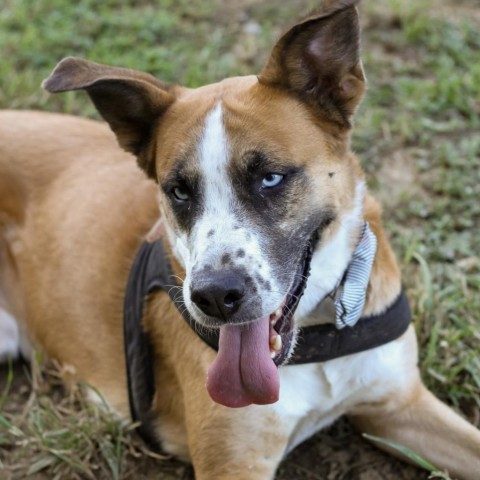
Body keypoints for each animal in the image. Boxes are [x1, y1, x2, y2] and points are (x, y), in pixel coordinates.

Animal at [0, 0, 480, 480]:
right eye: (179, 191)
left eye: (269, 178)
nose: (215, 297)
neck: (317, 331)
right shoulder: (235, 465)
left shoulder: (399, 406)